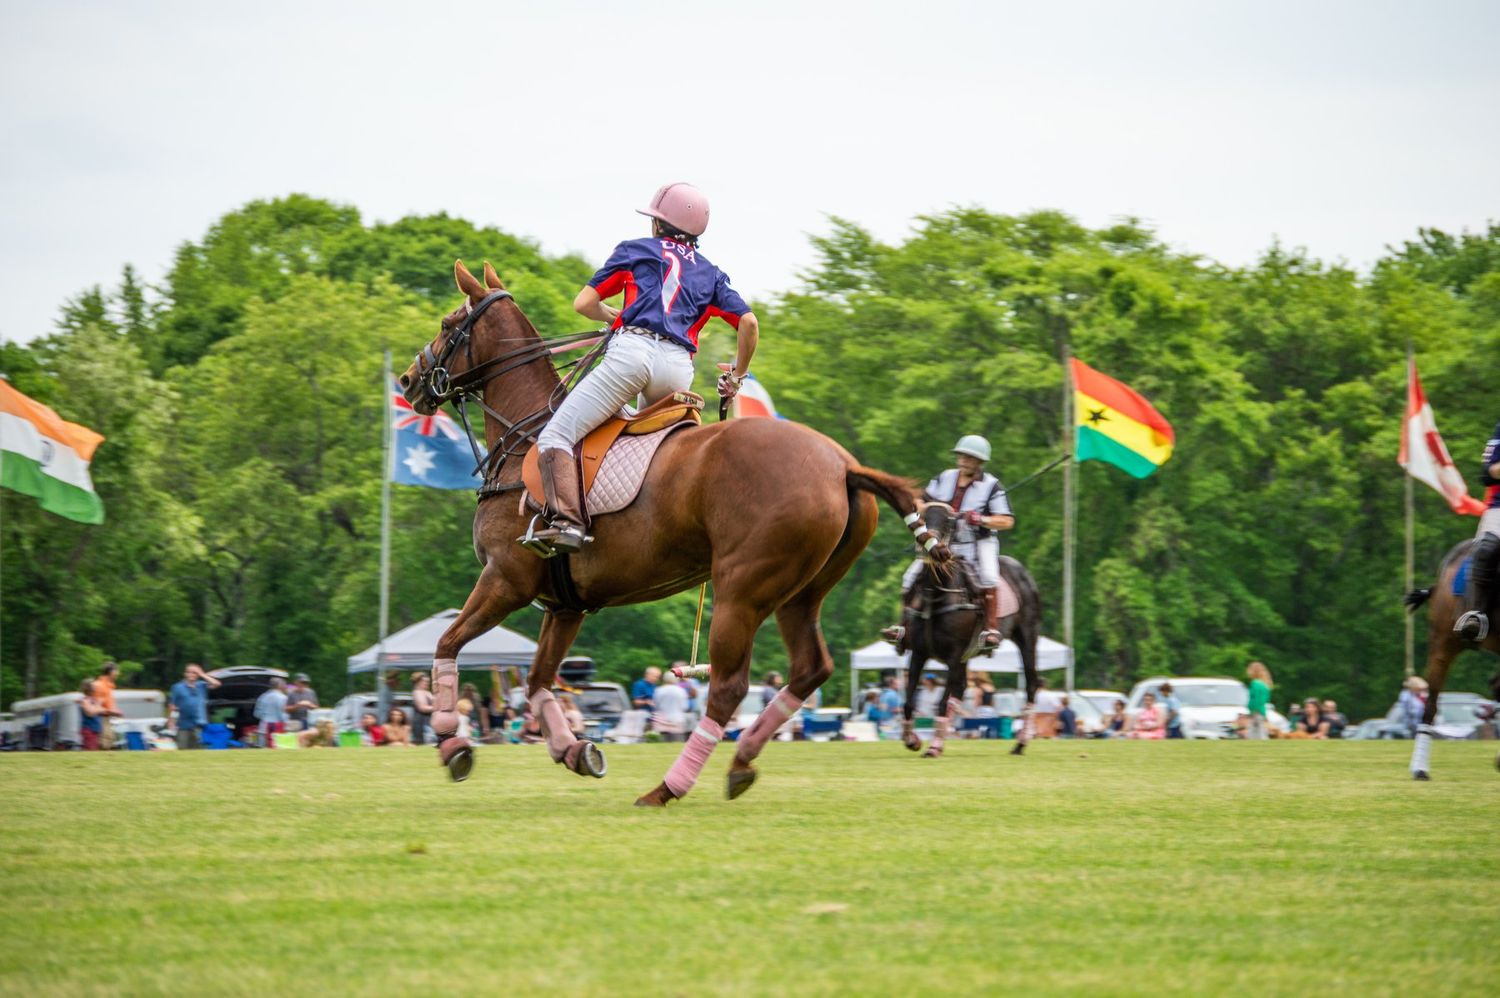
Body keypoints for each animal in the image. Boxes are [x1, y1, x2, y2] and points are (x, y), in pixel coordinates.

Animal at [399, 260, 950, 805]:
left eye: (448, 324)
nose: (408, 381)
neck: (525, 440)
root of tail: (844, 465)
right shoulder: (565, 605)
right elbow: (537, 682)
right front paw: (575, 750)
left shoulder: (505, 579)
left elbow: (447, 644)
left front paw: (451, 743)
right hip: (801, 591)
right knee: (810, 669)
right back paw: (740, 762)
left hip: (741, 588)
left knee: (728, 686)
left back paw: (667, 787)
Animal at [897, 502, 1042, 757]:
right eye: (921, 518)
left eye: (948, 522)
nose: (929, 547)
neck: (937, 595)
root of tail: (1023, 572)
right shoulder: (919, 653)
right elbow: (909, 700)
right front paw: (912, 739)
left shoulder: (954, 654)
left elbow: (942, 701)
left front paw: (931, 747)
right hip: (968, 654)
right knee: (962, 688)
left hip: (1027, 636)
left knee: (1032, 683)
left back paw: (1020, 743)